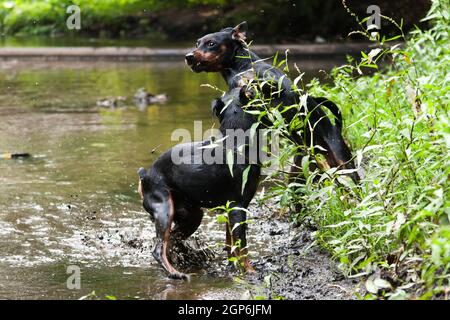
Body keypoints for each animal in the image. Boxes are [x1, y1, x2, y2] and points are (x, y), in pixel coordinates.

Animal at [139, 86, 262, 278]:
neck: (235, 142)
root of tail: (145, 175)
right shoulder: (237, 208)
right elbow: (242, 247)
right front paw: (250, 271)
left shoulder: (230, 209)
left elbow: (231, 245)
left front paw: (232, 268)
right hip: (164, 209)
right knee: (158, 249)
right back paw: (175, 273)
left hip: (192, 215)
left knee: (171, 241)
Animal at [185, 21, 358, 182]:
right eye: (197, 43)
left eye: (211, 43)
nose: (188, 57)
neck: (239, 68)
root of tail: (336, 129)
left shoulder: (274, 84)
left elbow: (254, 83)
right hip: (300, 172)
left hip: (343, 162)